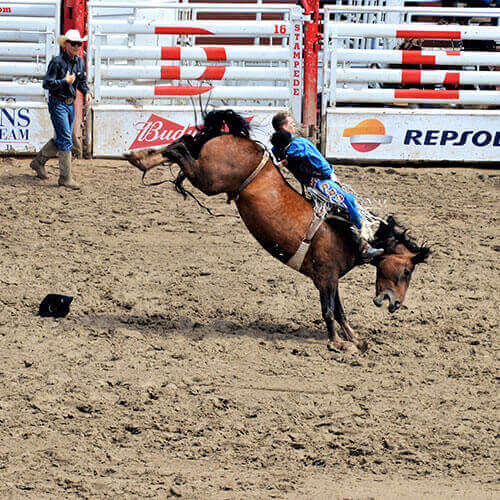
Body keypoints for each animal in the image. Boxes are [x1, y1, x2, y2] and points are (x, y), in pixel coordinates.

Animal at [126, 110, 430, 352]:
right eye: (407, 271)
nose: (395, 304)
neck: (349, 234)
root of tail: (240, 139)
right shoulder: (326, 277)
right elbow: (329, 310)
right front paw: (338, 343)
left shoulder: (330, 279)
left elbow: (340, 311)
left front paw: (354, 338)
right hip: (209, 179)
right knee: (179, 149)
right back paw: (138, 157)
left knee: (185, 143)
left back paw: (139, 156)